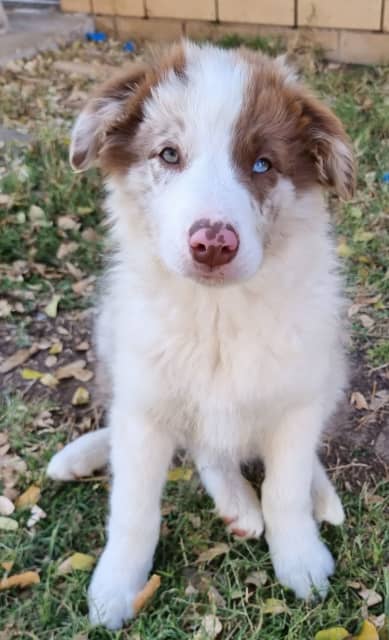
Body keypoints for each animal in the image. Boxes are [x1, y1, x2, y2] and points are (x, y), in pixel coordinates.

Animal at [47, 41, 354, 632]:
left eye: (263, 164)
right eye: (168, 154)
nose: (213, 244)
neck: (216, 315)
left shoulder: (298, 397)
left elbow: (285, 488)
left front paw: (300, 557)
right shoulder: (143, 406)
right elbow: (134, 507)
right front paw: (116, 587)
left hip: (329, 366)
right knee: (198, 446)